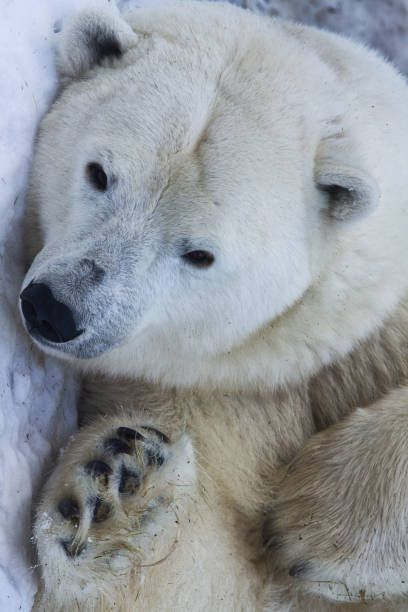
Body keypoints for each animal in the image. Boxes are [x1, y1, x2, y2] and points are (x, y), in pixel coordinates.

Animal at [19, 2, 408, 608]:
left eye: (199, 254)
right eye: (98, 173)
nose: (54, 310)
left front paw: (317, 525)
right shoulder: (208, 386)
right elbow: (208, 573)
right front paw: (114, 485)